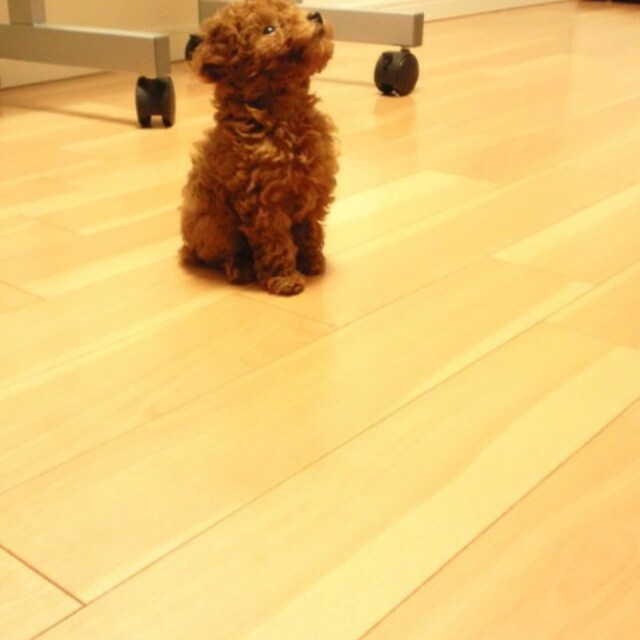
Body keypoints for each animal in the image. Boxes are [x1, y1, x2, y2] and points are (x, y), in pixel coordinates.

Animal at [181, 0, 338, 296]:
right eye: (269, 29)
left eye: (293, 9)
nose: (315, 15)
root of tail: (187, 248)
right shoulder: (264, 203)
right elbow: (276, 242)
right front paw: (285, 279)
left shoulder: (313, 189)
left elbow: (309, 229)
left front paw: (312, 262)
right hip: (212, 226)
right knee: (222, 256)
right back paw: (240, 269)